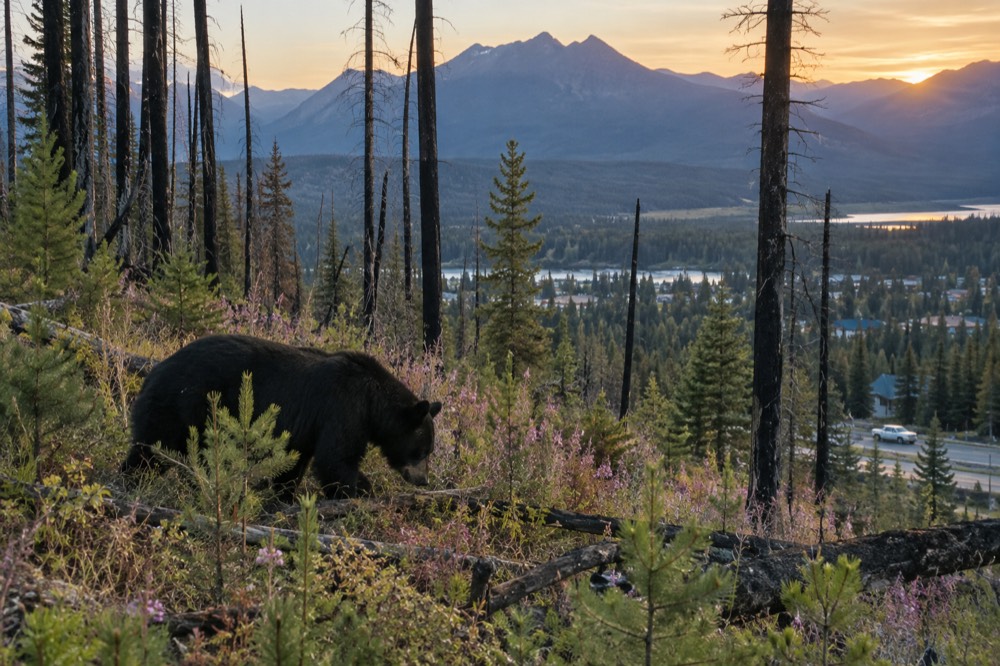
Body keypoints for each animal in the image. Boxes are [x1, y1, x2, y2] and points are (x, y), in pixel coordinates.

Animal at [122, 334, 442, 499]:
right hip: (182, 407)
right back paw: (134, 480)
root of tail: (151, 374)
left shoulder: (305, 425)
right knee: (153, 449)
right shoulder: (343, 406)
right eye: (421, 451)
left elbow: (295, 459)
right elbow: (336, 456)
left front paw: (284, 493)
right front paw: (362, 489)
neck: (372, 401)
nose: (424, 480)